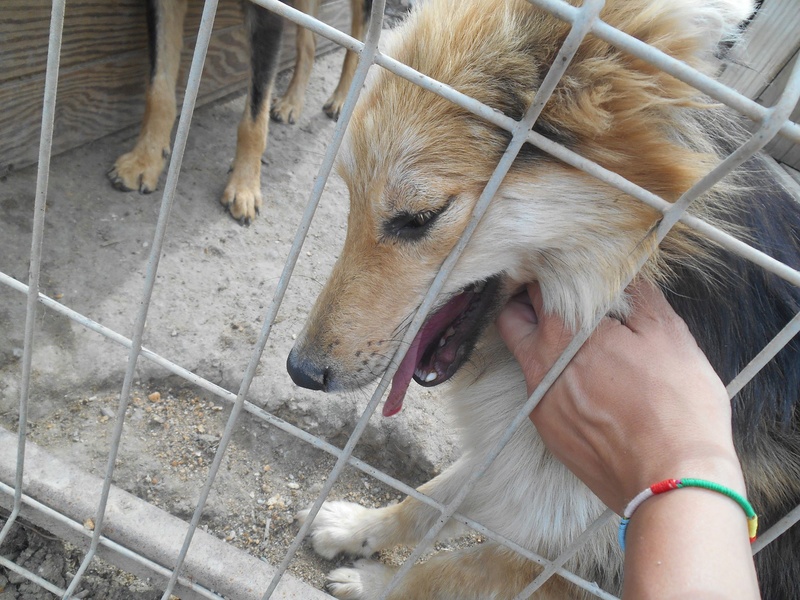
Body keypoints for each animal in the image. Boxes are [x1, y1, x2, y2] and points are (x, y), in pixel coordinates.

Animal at [107, 0, 372, 224]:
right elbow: (159, 89)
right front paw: (146, 158)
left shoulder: (269, 14)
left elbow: (255, 117)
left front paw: (245, 186)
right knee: (309, 43)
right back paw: (291, 102)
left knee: (361, 44)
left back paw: (341, 100)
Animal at [288, 1, 800, 600]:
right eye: (348, 196)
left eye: (419, 218)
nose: (300, 371)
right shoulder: (519, 463)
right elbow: (432, 498)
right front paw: (358, 527)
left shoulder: (580, 560)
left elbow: (446, 571)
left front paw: (373, 581)